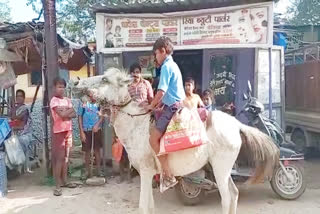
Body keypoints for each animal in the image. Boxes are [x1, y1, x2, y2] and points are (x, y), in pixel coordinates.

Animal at [71, 68, 278, 214]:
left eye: (105, 79)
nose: (76, 82)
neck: (136, 124)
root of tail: (236, 124)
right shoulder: (149, 174)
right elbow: (150, 207)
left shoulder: (146, 172)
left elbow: (143, 207)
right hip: (224, 169)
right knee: (234, 195)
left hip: (220, 168)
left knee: (226, 199)